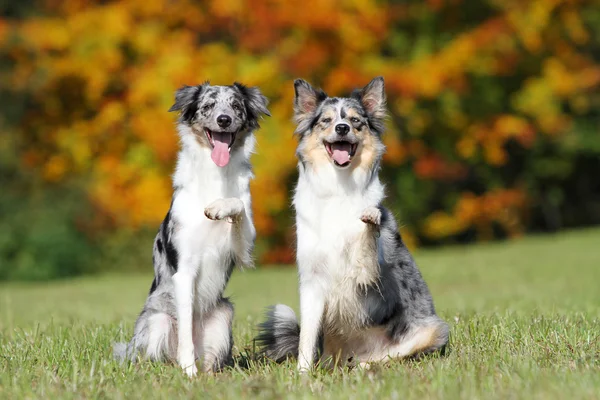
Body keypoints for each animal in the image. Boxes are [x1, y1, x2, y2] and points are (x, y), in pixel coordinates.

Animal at [115, 80, 270, 376]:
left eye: (236, 106)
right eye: (208, 106)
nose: (224, 120)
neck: (215, 174)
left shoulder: (244, 248)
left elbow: (237, 205)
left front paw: (219, 208)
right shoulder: (184, 270)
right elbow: (185, 332)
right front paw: (188, 372)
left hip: (223, 314)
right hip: (159, 320)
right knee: (163, 354)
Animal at [255, 76, 448, 370]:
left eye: (356, 120)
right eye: (327, 120)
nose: (342, 127)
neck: (339, 187)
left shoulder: (367, 273)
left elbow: (366, 239)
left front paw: (370, 219)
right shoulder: (312, 282)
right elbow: (306, 339)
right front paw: (301, 374)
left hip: (432, 329)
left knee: (387, 359)